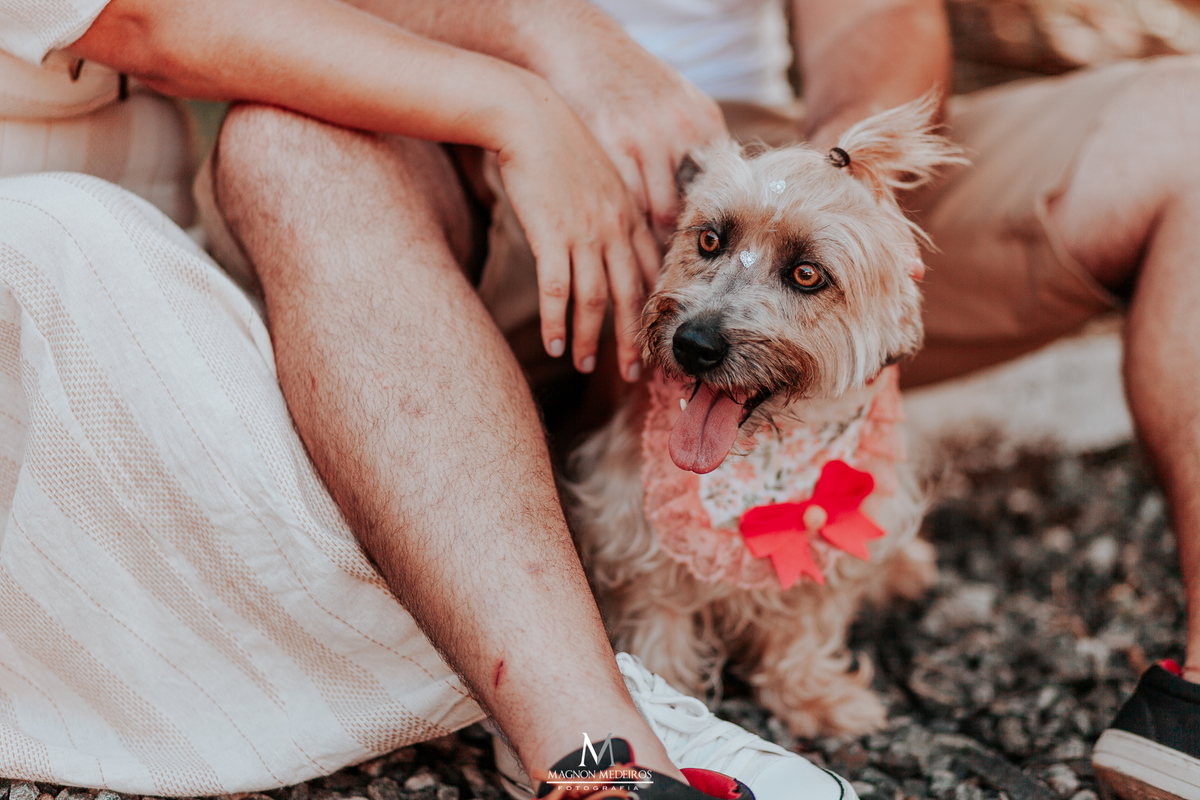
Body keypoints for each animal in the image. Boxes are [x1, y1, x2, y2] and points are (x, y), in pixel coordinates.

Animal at [566, 97, 965, 736]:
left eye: (807, 273)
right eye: (709, 239)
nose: (694, 344)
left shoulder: (841, 526)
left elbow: (806, 623)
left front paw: (818, 699)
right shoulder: (631, 528)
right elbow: (660, 619)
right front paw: (665, 698)